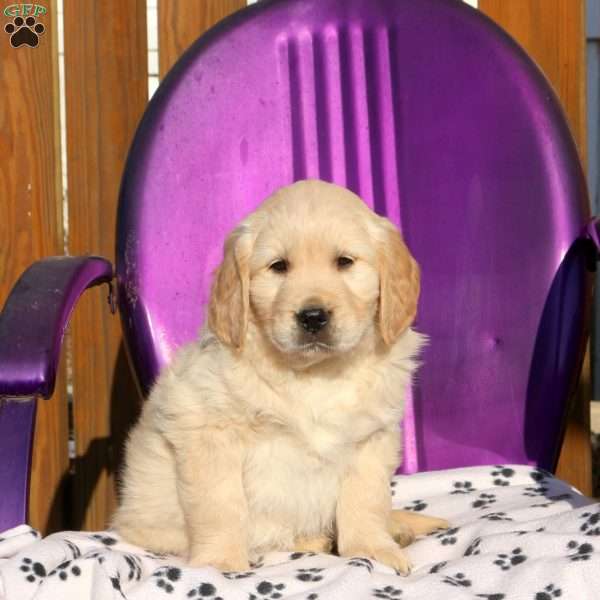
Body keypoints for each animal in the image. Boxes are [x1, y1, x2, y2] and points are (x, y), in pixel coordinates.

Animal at [113, 180, 446, 576]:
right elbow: (220, 505)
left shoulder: (371, 438)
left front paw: (372, 548)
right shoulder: (209, 433)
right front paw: (220, 561)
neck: (314, 374)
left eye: (344, 262)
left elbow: (365, 500)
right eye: (279, 267)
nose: (313, 317)